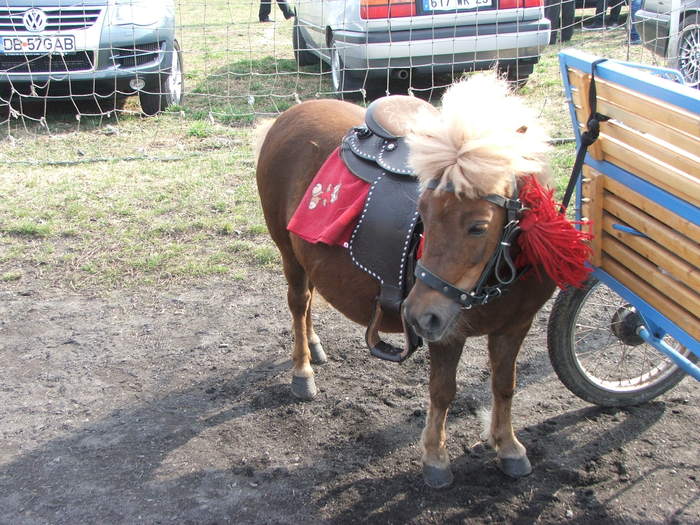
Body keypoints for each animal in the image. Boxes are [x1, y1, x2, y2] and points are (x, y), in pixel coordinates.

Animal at [258, 73, 556, 488]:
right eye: (423, 214)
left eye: (478, 227)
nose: (417, 314)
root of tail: (289, 115)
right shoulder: (447, 333)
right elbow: (443, 391)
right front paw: (435, 457)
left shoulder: (516, 325)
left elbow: (504, 385)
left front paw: (508, 446)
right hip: (288, 251)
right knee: (299, 303)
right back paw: (302, 370)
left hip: (307, 253)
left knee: (310, 300)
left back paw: (315, 346)